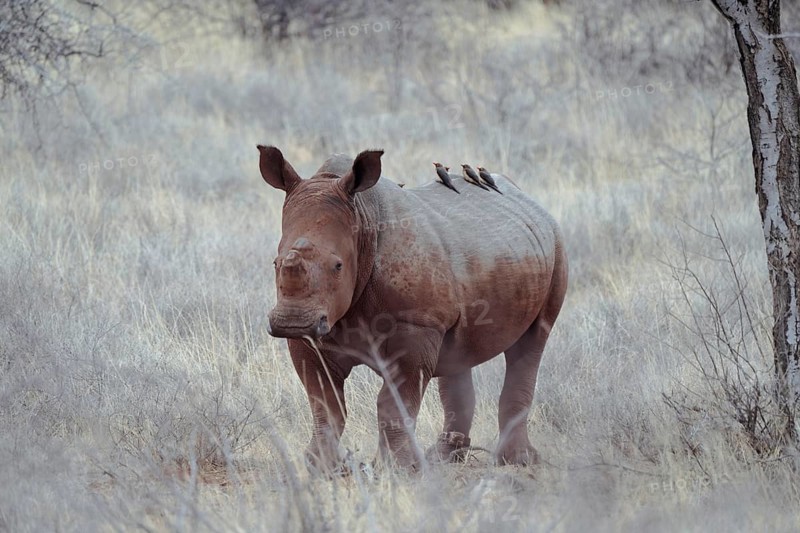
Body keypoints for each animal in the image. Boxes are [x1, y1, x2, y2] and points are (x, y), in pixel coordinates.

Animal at [258, 145, 568, 470]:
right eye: (275, 263)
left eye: (338, 266)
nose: (291, 323)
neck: (362, 222)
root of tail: (531, 201)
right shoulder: (314, 332)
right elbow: (326, 404)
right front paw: (322, 467)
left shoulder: (417, 325)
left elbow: (393, 403)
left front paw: (400, 469)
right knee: (458, 353)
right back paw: (445, 458)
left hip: (557, 248)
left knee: (533, 341)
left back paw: (517, 461)